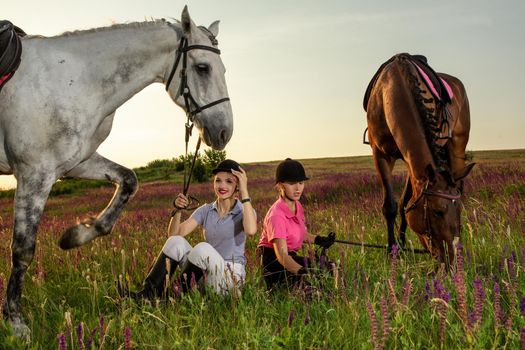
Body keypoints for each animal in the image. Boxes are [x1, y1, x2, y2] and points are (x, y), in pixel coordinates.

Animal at [0, 6, 232, 340]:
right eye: (202, 68)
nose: (224, 132)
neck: (74, 80)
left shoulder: (75, 164)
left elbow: (128, 182)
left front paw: (75, 235)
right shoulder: (34, 174)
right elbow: (22, 250)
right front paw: (16, 323)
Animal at [364, 53, 474, 264]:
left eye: (457, 210)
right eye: (437, 212)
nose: (451, 259)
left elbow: (405, 204)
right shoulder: (380, 155)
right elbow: (392, 206)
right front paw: (394, 250)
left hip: (457, 145)